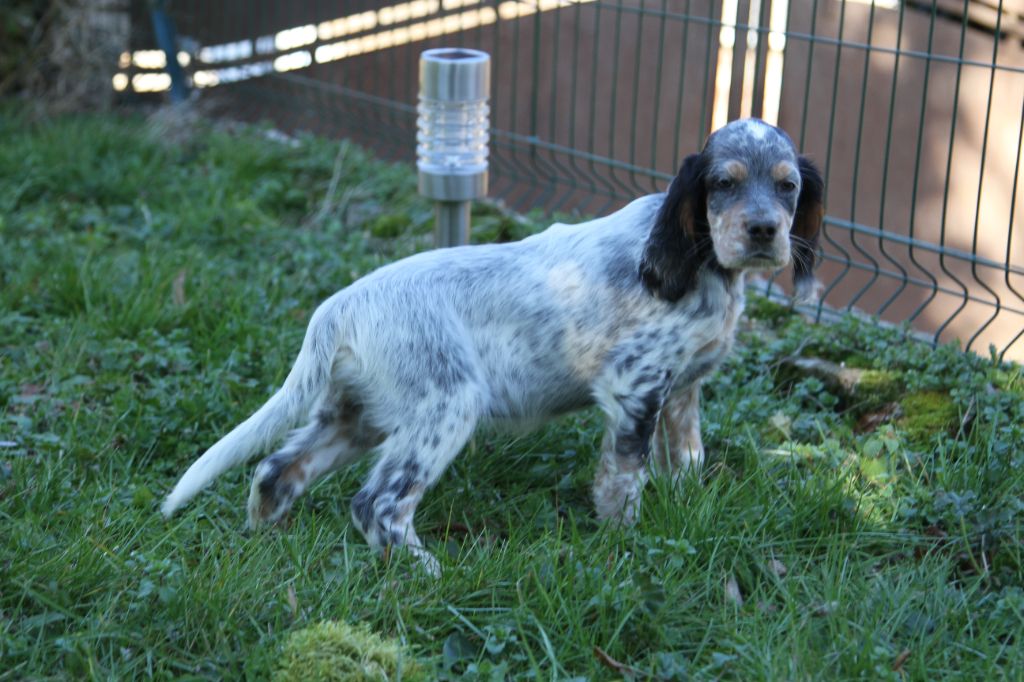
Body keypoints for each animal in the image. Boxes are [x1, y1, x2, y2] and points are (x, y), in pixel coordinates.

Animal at [161, 118, 824, 574]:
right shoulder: (633, 387)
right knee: (376, 503)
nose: (763, 231)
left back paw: (264, 540)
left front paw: (686, 507)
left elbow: (685, 457)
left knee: (277, 469)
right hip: (446, 406)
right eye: (723, 183)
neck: (699, 261)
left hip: (359, 414)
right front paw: (623, 540)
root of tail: (340, 306)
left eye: (788, 187)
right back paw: (425, 571)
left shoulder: (682, 389)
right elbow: (622, 477)